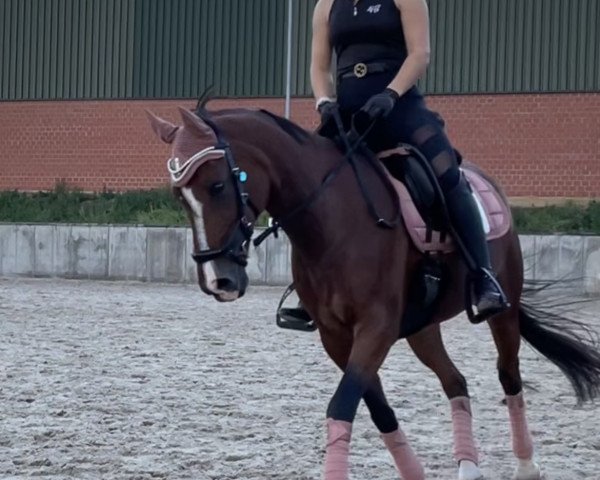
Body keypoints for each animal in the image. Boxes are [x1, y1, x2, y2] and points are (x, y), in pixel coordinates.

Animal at [145, 106, 600, 480]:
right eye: (179, 195)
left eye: (219, 186)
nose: (217, 281)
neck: (332, 220)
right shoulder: (336, 335)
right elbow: (374, 406)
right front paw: (413, 473)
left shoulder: (375, 327)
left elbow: (343, 405)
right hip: (423, 328)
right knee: (455, 380)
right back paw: (468, 466)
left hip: (501, 311)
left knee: (508, 374)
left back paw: (526, 465)